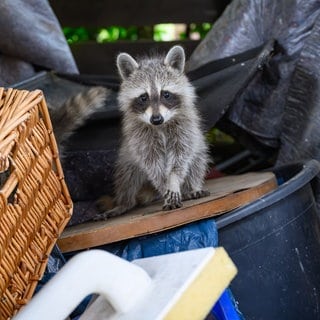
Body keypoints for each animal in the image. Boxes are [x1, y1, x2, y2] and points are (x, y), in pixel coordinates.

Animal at [95, 45, 210, 220]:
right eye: (144, 97)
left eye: (166, 94)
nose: (156, 119)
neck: (160, 126)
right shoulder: (140, 137)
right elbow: (153, 164)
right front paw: (164, 185)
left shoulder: (184, 129)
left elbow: (180, 158)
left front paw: (173, 181)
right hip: (127, 159)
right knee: (127, 178)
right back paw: (124, 203)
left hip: (198, 146)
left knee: (196, 162)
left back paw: (191, 188)